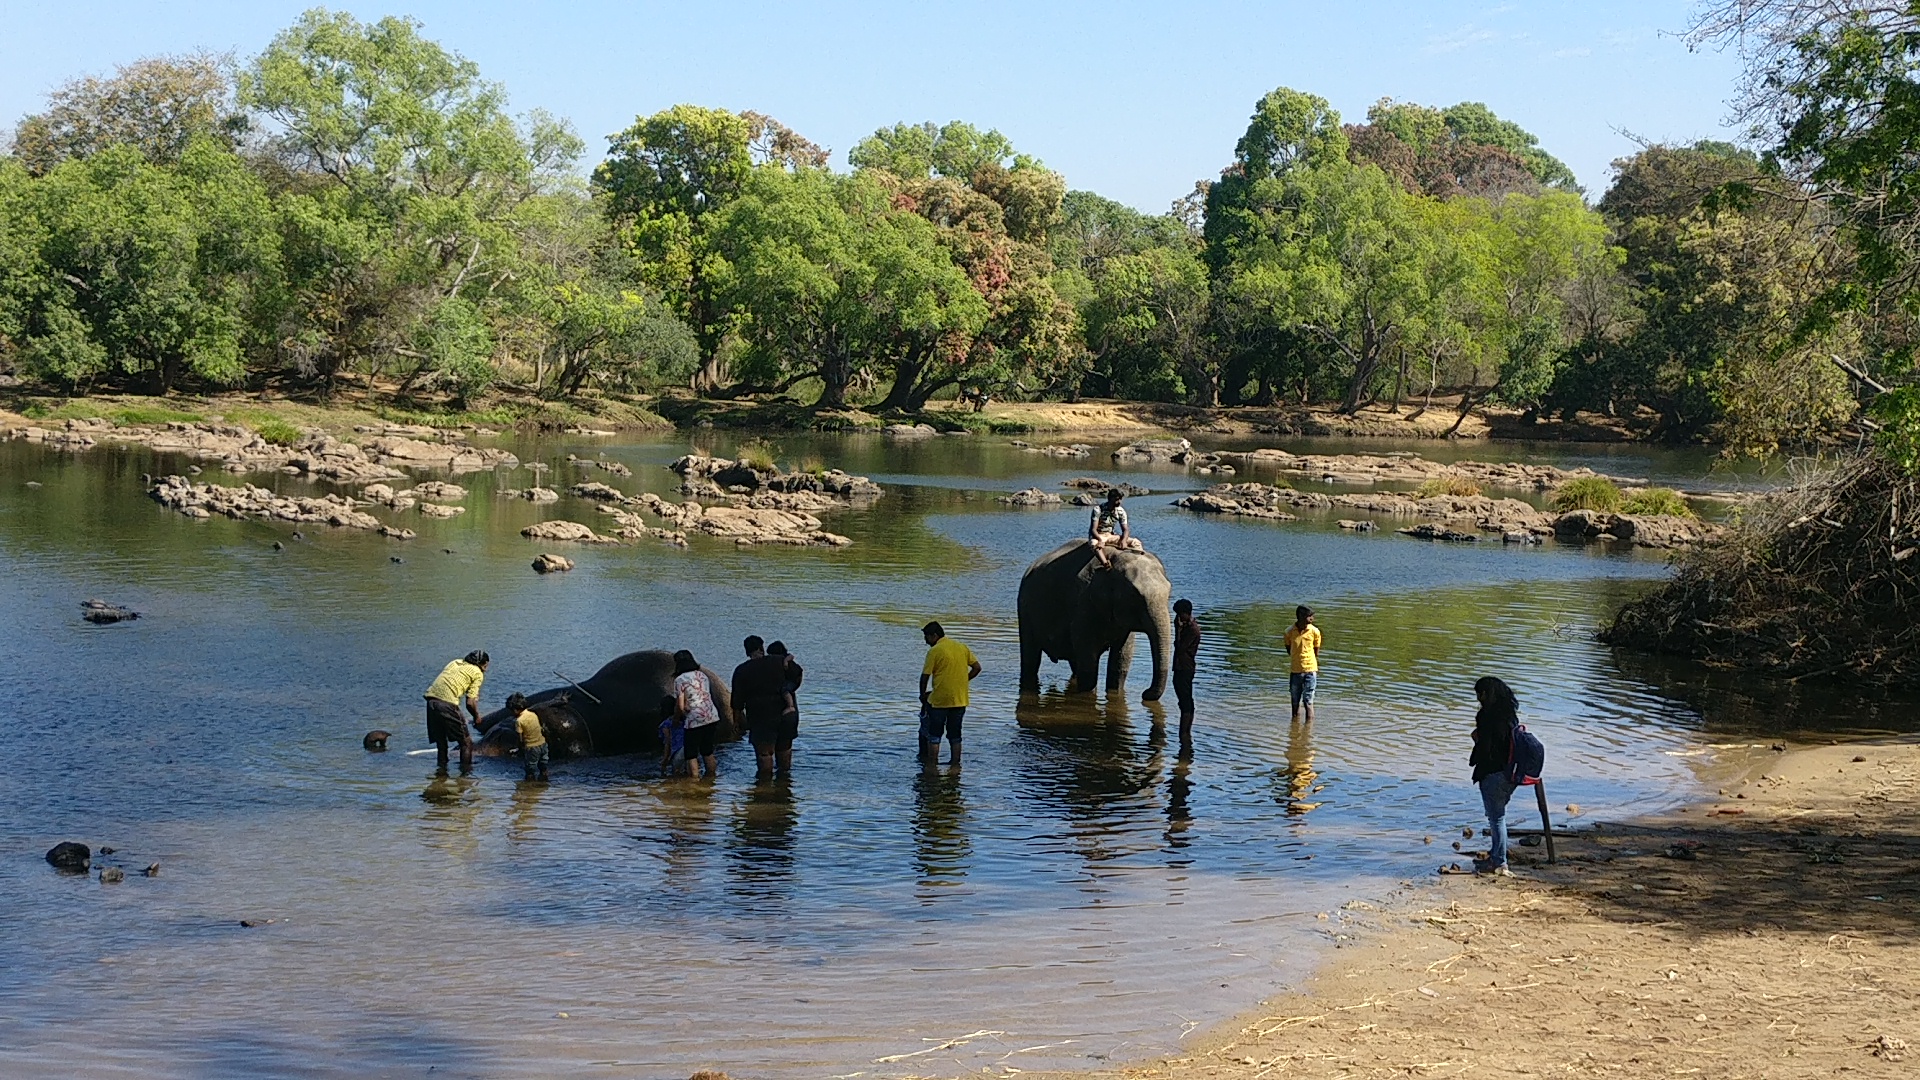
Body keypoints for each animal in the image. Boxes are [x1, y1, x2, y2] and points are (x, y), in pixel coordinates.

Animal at [1013, 534, 1175, 699]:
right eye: (1134, 595)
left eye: (1169, 591)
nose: (1145, 693)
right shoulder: (1083, 602)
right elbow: (1088, 663)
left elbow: (1121, 660)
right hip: (1024, 608)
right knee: (1031, 658)